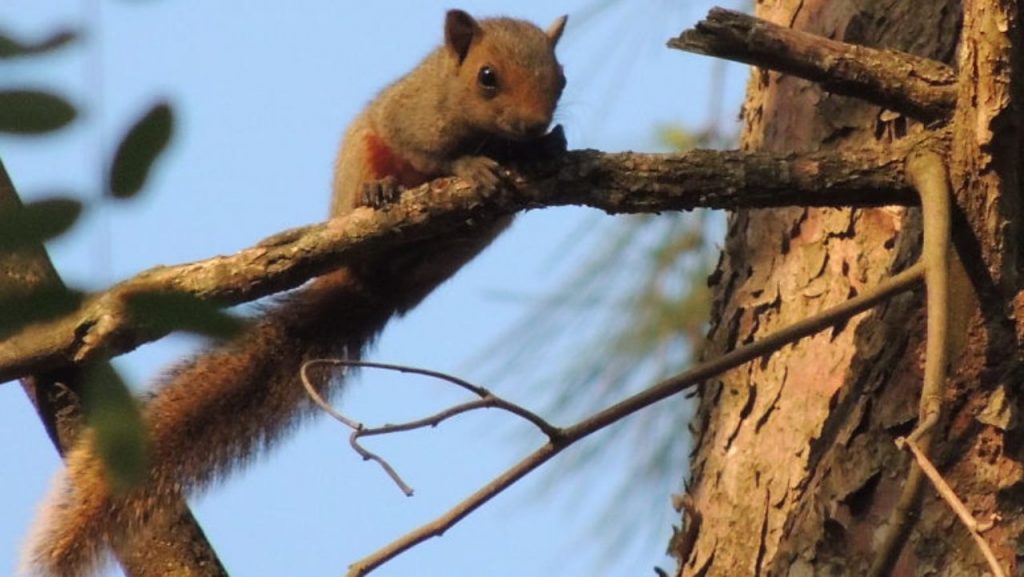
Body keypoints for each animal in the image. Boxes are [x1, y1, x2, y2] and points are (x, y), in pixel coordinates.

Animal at [24, 10, 569, 577]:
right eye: (488, 77)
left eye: (562, 78)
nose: (534, 124)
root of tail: (372, 291)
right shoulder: (409, 117)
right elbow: (431, 152)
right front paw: (471, 167)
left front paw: (549, 146)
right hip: (364, 161)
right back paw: (380, 193)